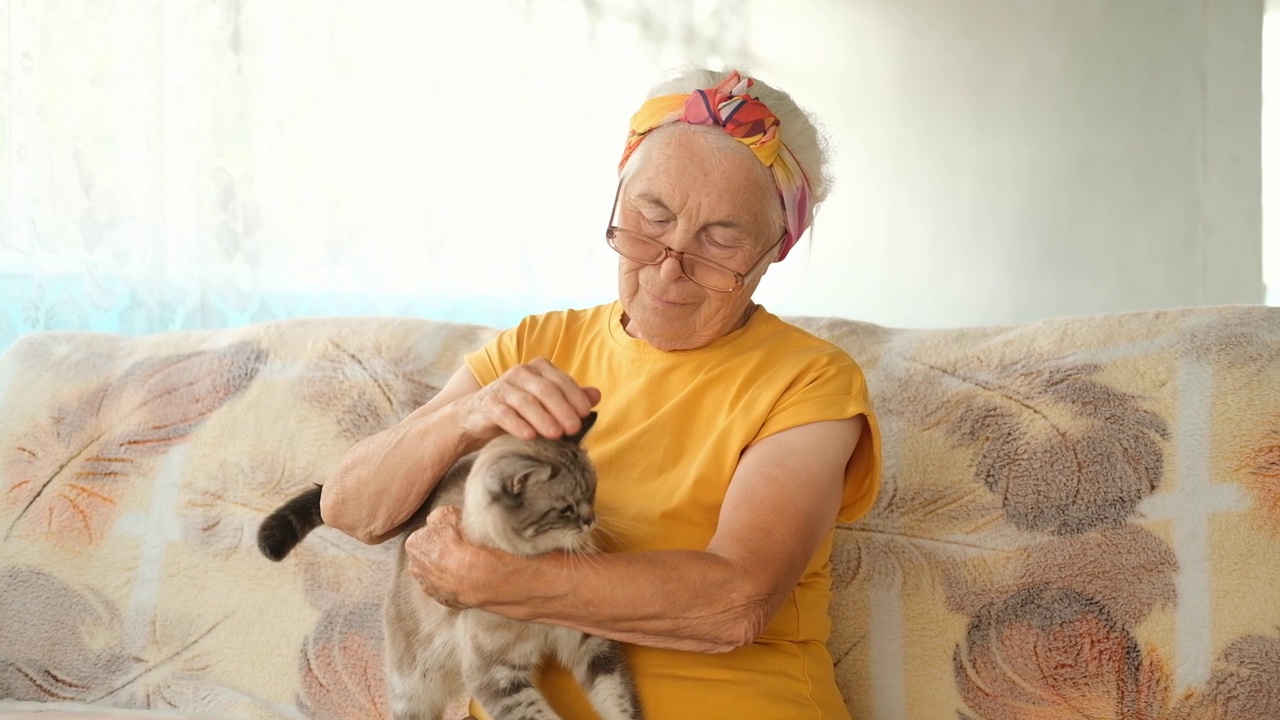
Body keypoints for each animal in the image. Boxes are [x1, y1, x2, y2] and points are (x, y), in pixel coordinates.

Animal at [254, 409, 645, 717]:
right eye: (565, 509)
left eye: (592, 492)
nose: (590, 521)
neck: (536, 570)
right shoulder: (497, 676)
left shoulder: (591, 646)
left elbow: (618, 700)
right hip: (414, 687)